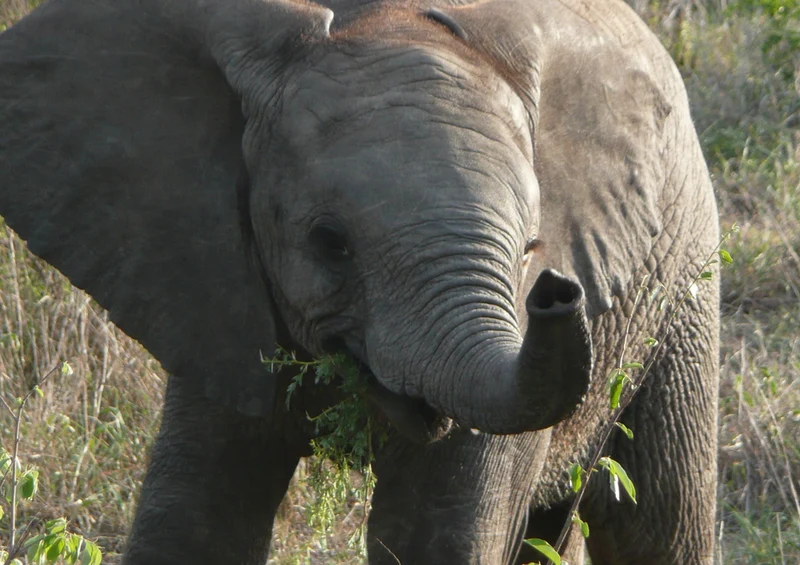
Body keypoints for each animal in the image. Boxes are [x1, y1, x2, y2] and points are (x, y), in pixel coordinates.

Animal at [0, 0, 720, 563]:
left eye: (529, 252)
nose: (558, 292)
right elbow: (196, 516)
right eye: (330, 243)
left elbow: (433, 536)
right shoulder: (213, 285)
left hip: (685, 276)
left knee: (659, 519)